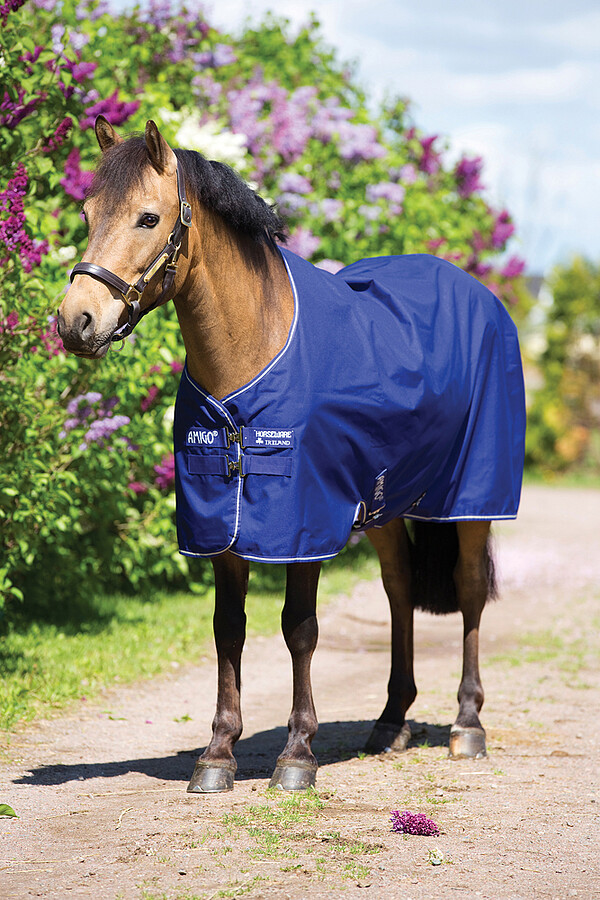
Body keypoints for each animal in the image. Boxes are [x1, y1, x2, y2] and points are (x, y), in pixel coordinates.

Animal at [57, 116, 526, 793]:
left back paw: (467, 724)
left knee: (466, 591)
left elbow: (299, 628)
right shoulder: (222, 523)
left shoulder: (303, 522)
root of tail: (479, 295)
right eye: (88, 213)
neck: (253, 348)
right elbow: (229, 629)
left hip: (471, 500)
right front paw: (217, 753)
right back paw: (391, 721)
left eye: (147, 218)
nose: (77, 321)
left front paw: (297, 753)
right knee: (399, 588)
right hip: (382, 504)